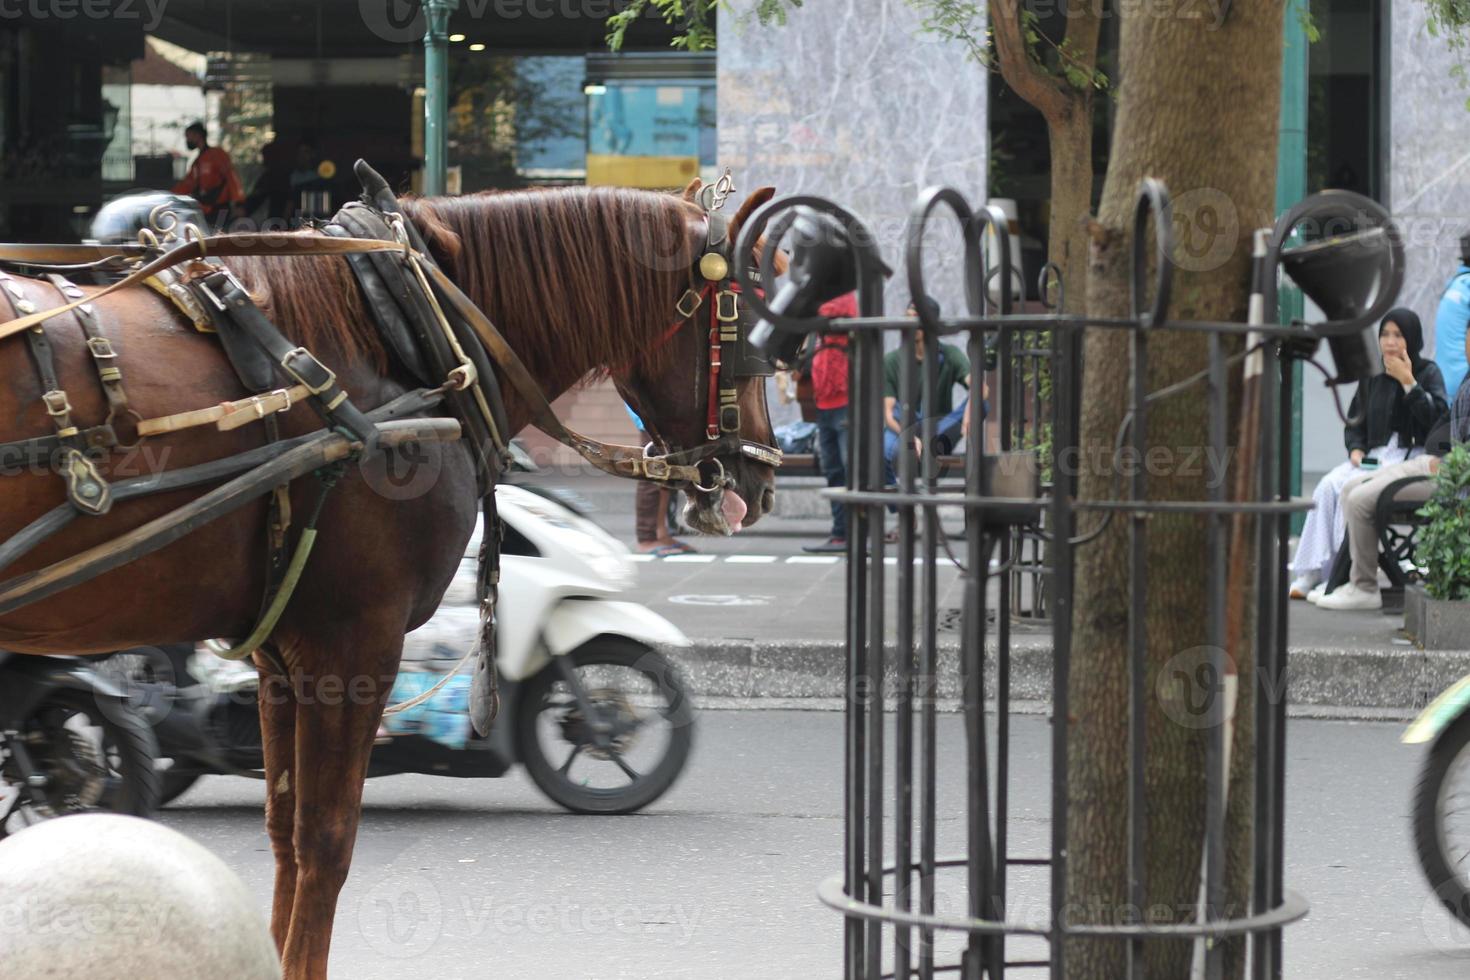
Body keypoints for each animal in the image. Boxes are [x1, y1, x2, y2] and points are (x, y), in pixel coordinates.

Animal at [0, 179, 782, 975]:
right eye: (752, 329)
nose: (761, 478)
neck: (410, 338)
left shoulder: (282, 655)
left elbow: (284, 832)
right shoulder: (352, 647)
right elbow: (325, 841)